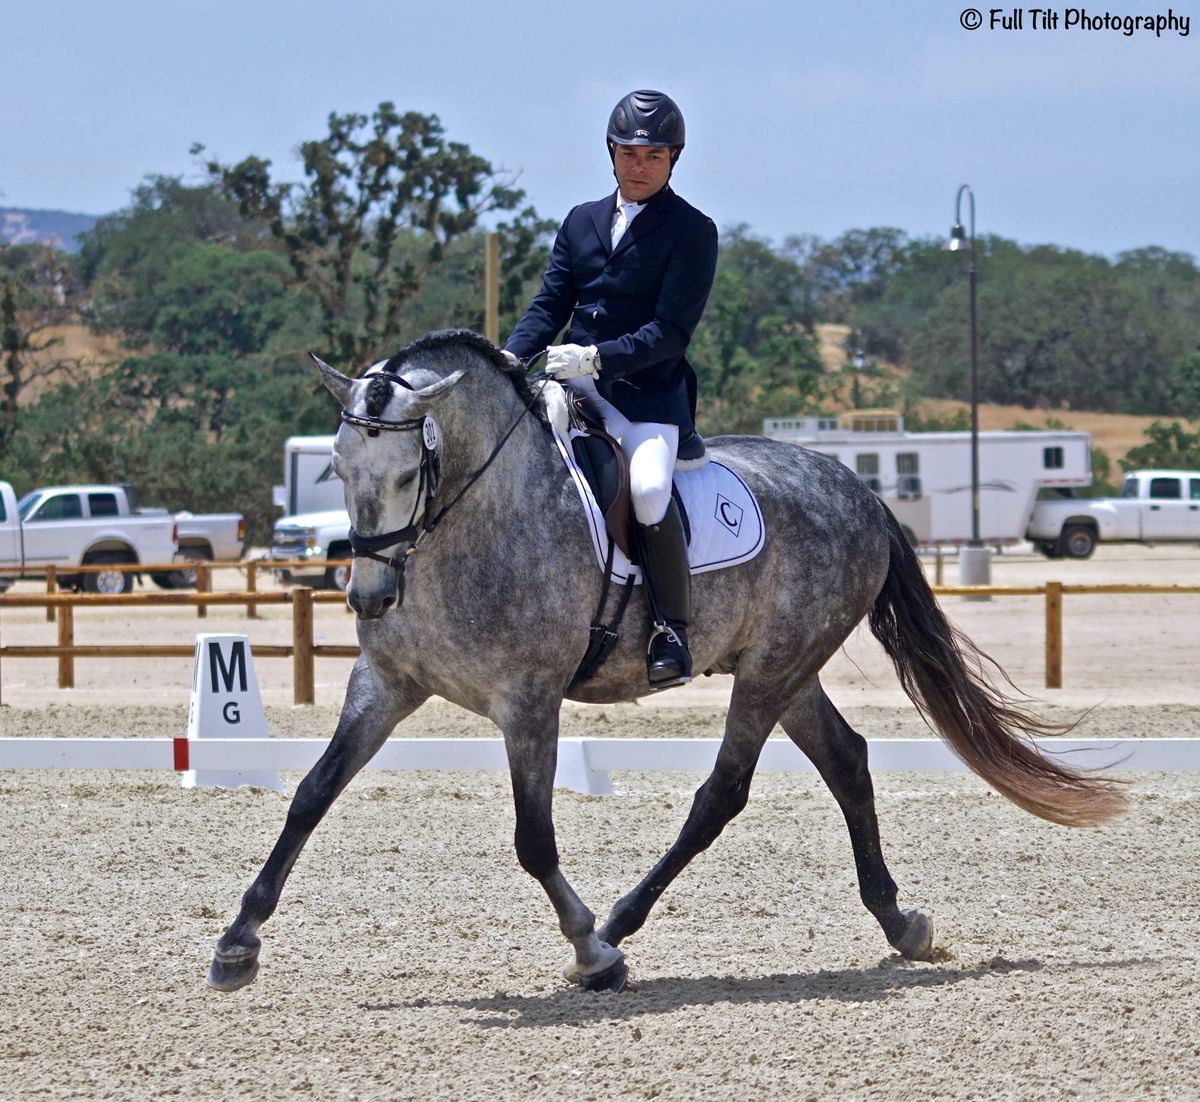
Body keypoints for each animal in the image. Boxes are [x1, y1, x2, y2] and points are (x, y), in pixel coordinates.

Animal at [207, 329, 1126, 994]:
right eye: (337, 465)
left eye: (409, 470)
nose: (368, 598)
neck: (470, 522)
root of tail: (857, 489)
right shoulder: (387, 685)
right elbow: (311, 796)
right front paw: (237, 944)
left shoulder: (528, 701)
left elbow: (533, 839)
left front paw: (592, 953)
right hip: (786, 670)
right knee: (847, 761)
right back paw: (901, 922)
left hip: (770, 673)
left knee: (722, 794)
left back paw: (619, 924)